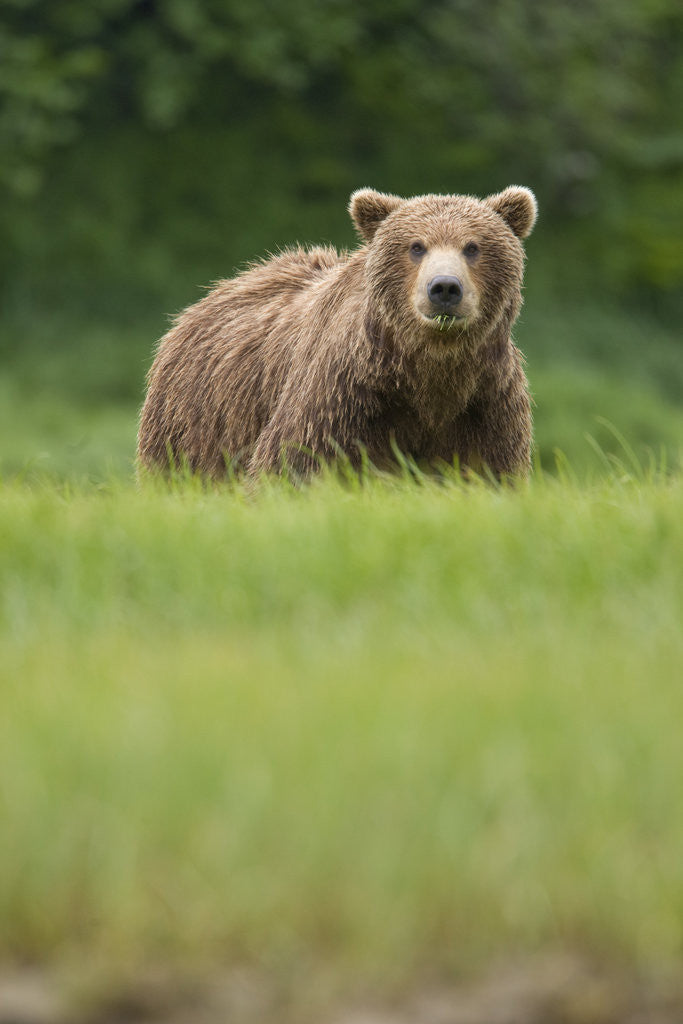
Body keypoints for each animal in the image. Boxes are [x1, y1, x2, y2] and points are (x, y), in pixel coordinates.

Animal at [137, 186, 537, 479]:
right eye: (416, 246)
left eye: (472, 247)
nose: (444, 288)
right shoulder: (344, 396)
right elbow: (293, 463)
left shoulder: (485, 405)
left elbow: (487, 471)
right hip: (194, 424)